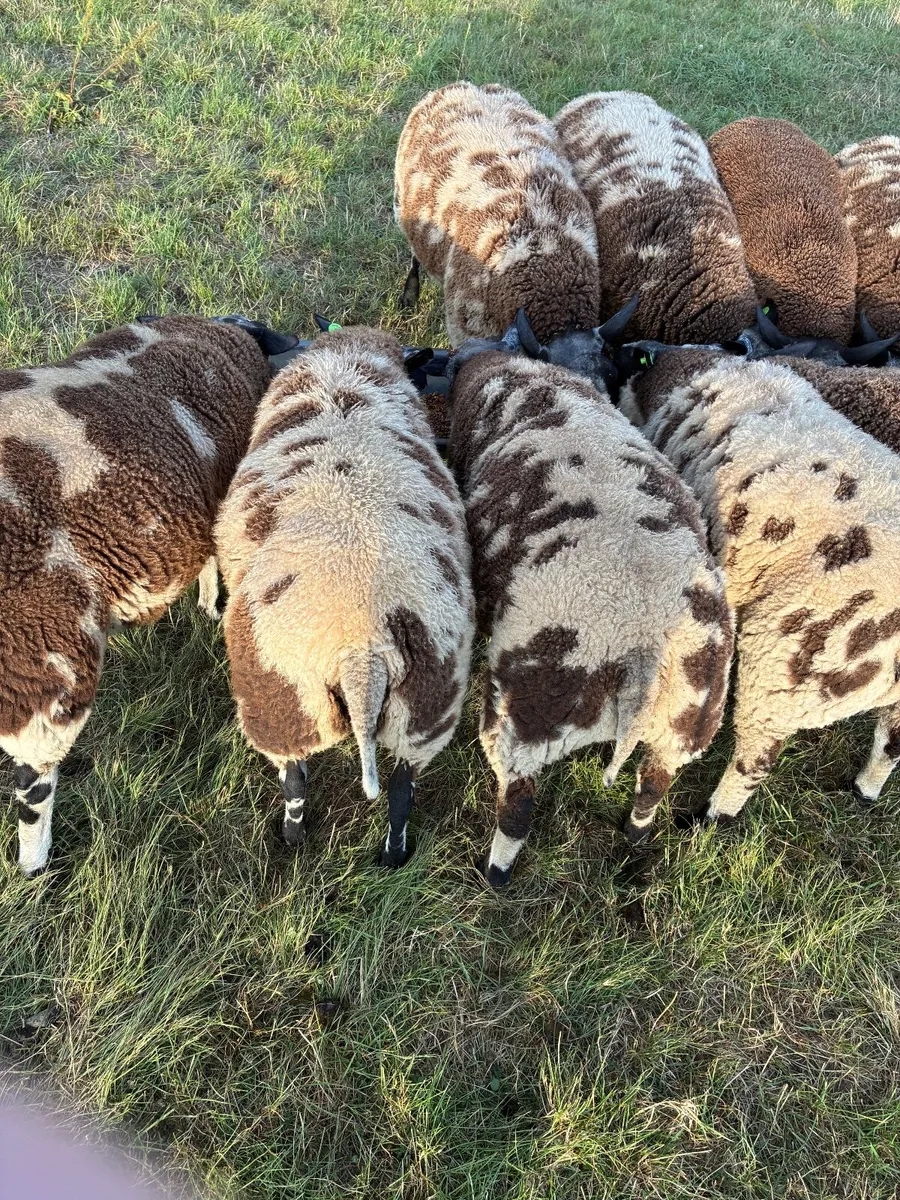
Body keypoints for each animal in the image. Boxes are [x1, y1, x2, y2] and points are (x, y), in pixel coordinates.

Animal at [214, 325, 474, 865]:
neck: (346, 360)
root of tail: (361, 647)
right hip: (428, 707)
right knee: (401, 790)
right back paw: (394, 856)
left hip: (278, 702)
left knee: (293, 781)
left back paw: (292, 840)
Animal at [448, 337, 733, 886]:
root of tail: (645, 655)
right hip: (688, 723)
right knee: (653, 786)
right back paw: (633, 841)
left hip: (528, 717)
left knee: (516, 809)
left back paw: (494, 874)